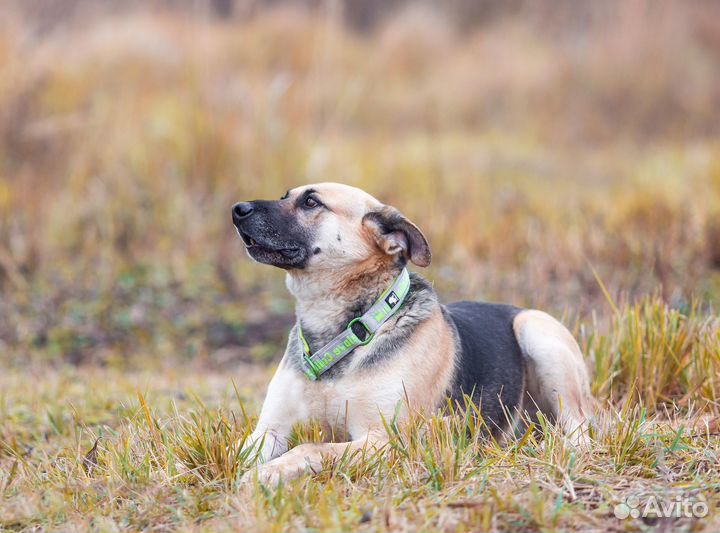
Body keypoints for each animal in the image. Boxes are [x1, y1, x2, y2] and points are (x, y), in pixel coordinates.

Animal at [233, 182, 592, 482]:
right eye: (285, 195)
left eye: (311, 201)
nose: (237, 209)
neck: (344, 331)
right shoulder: (270, 430)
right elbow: (239, 449)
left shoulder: (383, 440)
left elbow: (311, 448)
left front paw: (267, 473)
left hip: (538, 333)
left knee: (579, 429)